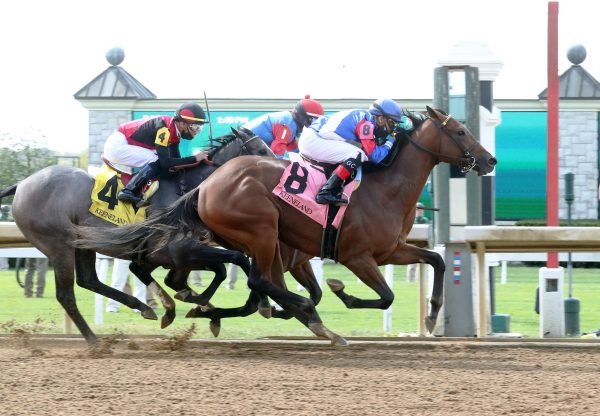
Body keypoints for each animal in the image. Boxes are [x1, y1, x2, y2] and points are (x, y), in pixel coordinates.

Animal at [72, 107, 496, 344]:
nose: (490, 159)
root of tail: (208, 183)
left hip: (251, 239)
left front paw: (432, 314)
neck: (385, 188)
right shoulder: (356, 255)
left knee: (239, 280)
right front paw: (341, 293)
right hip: (260, 232)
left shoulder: (389, 250)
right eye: (460, 131)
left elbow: (436, 261)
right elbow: (384, 296)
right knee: (253, 278)